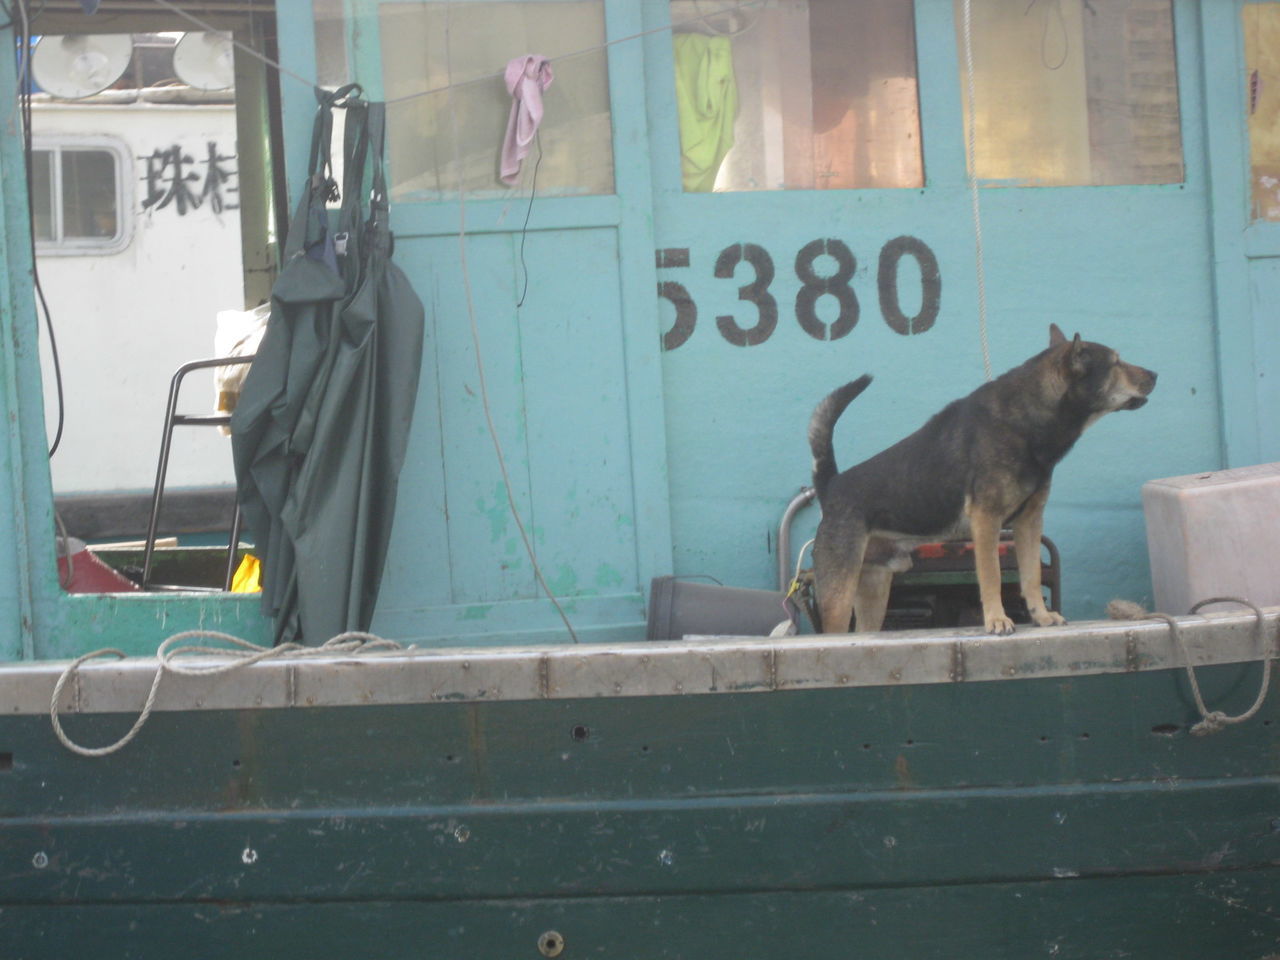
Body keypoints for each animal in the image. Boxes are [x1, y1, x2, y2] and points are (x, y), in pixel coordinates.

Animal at [808, 327, 1162, 634]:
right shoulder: (986, 519)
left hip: (874, 589)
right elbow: (992, 575)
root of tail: (831, 485)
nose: (1155, 374)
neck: (1027, 419)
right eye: (1116, 363)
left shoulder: (1029, 521)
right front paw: (996, 620)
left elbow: (1031, 576)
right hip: (839, 596)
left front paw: (1041, 616)